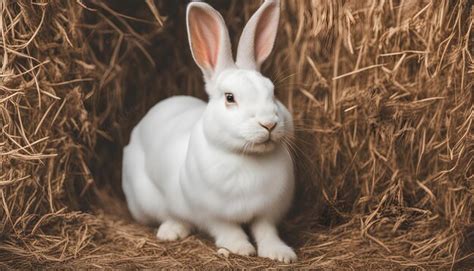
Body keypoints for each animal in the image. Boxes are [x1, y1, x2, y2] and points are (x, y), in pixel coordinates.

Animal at [122, 0, 296, 264]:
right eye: (230, 97)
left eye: (273, 92)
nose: (269, 124)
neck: (246, 158)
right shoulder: (211, 215)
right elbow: (228, 230)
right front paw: (241, 248)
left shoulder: (267, 213)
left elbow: (266, 231)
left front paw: (281, 254)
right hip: (146, 201)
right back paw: (171, 231)